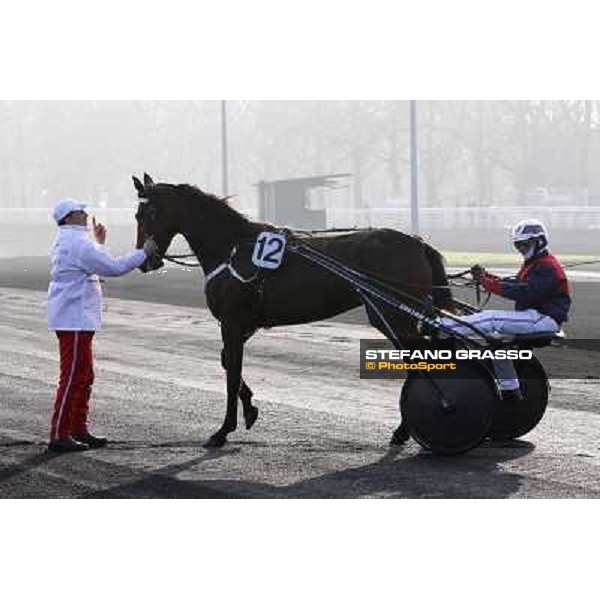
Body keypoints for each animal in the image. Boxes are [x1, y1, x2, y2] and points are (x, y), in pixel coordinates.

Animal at [134, 172, 452, 446]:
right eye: (137, 215)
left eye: (151, 213)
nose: (145, 261)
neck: (234, 249)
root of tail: (418, 243)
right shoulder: (244, 324)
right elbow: (227, 362)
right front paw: (250, 410)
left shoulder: (231, 322)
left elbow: (232, 374)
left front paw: (223, 430)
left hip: (395, 316)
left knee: (421, 361)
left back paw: (415, 424)